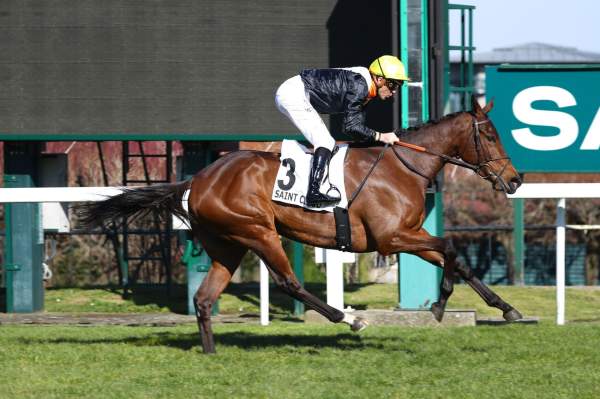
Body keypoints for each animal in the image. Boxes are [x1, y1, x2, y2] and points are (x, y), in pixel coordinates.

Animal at [78, 97, 520, 354]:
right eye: (491, 135)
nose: (515, 180)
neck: (403, 165)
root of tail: (196, 181)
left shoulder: (410, 234)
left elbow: (458, 259)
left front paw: (506, 308)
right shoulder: (392, 238)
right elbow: (450, 248)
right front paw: (439, 305)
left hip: (227, 246)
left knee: (203, 299)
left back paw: (211, 353)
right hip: (258, 231)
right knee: (289, 282)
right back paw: (350, 319)